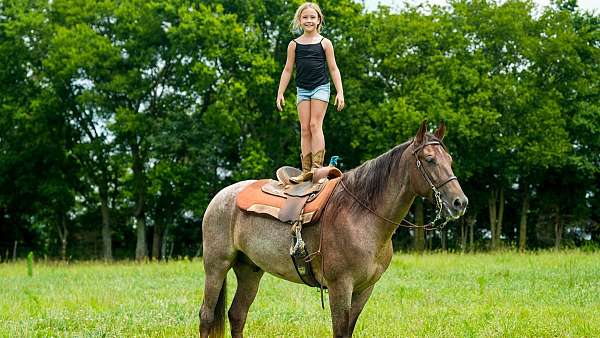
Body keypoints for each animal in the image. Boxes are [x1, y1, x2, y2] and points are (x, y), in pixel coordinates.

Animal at [200, 121, 468, 336]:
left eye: (450, 160)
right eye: (430, 159)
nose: (460, 202)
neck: (361, 216)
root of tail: (222, 196)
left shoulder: (364, 289)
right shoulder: (340, 287)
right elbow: (339, 331)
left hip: (250, 270)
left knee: (237, 315)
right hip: (216, 266)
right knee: (206, 316)